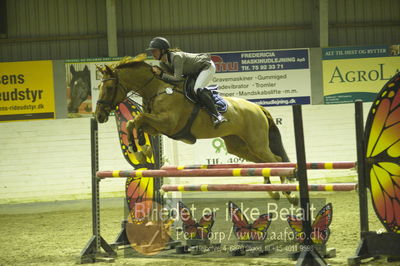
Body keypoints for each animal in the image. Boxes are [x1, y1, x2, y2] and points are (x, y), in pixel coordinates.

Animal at [95, 53, 298, 204]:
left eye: (110, 87)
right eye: (99, 86)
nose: (99, 115)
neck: (157, 88)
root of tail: (258, 107)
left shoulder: (168, 123)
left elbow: (138, 119)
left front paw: (140, 149)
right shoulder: (159, 127)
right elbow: (134, 123)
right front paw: (140, 150)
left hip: (257, 143)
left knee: (276, 160)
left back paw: (290, 193)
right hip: (240, 146)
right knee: (264, 164)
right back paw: (274, 192)